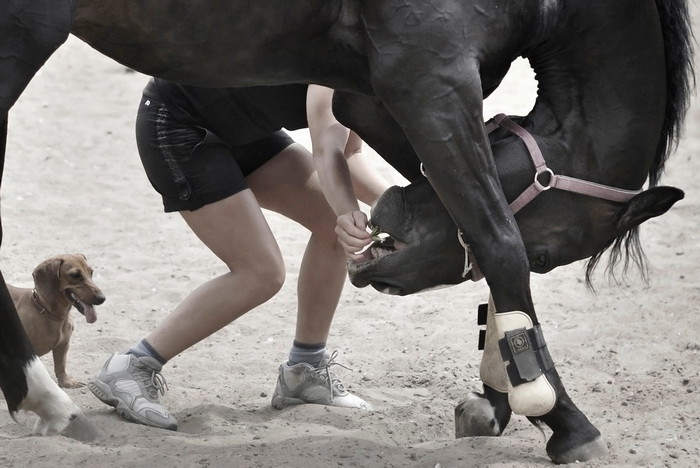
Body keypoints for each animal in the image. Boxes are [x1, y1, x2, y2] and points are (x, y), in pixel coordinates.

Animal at [8, 256, 105, 388]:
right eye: (75, 275)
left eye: (91, 272)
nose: (102, 298)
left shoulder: (63, 344)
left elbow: (60, 365)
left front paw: (66, 382)